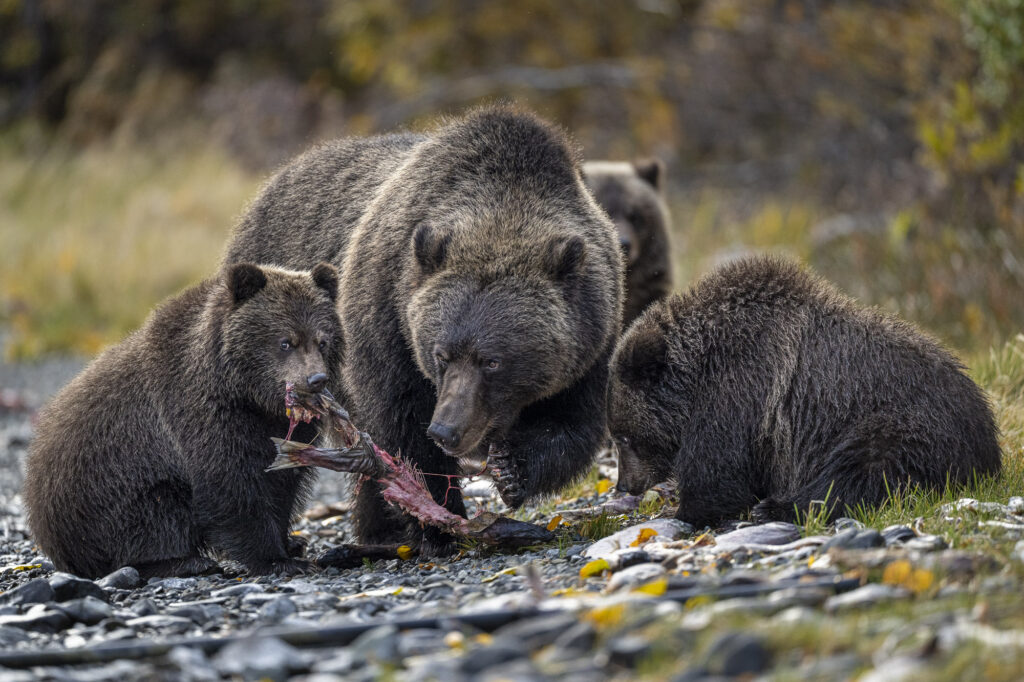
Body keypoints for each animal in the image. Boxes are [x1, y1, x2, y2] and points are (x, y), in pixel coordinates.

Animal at [23, 262, 343, 578]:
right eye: (286, 342)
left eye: (323, 341)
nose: (316, 379)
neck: (247, 395)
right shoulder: (198, 412)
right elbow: (228, 483)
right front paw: (277, 559)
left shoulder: (278, 429)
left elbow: (282, 480)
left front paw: (292, 544)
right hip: (104, 492)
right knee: (155, 514)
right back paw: (183, 561)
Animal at [223, 106, 624, 553]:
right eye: (441, 354)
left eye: (493, 361)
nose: (446, 429)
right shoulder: (389, 317)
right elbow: (402, 422)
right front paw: (438, 521)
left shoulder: (591, 335)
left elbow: (573, 422)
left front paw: (510, 470)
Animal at [607, 255, 1001, 528]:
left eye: (622, 437)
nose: (624, 485)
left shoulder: (742, 387)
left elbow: (718, 468)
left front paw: (686, 508)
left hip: (902, 423)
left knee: (862, 470)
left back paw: (778, 507)